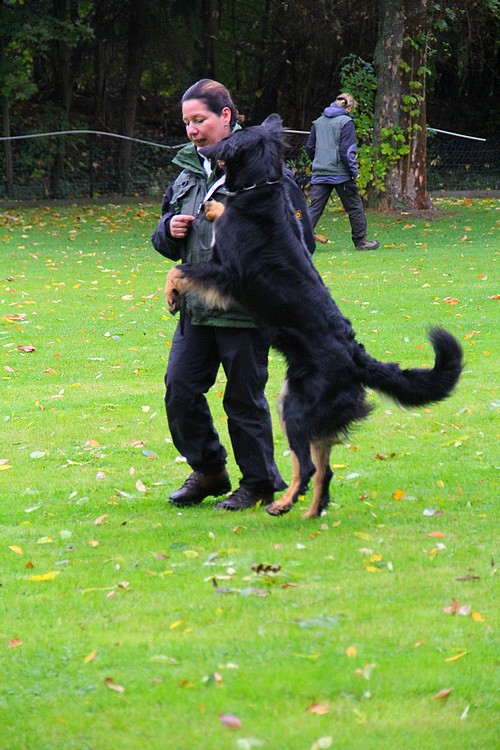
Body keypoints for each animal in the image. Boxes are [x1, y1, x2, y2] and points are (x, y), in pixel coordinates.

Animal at [165, 114, 464, 520]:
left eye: (224, 140)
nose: (200, 144)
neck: (261, 189)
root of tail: (356, 357)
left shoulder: (227, 274)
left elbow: (179, 271)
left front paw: (172, 294)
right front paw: (213, 208)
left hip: (294, 407)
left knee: (306, 467)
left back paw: (282, 504)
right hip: (306, 408)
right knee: (325, 470)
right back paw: (310, 512)